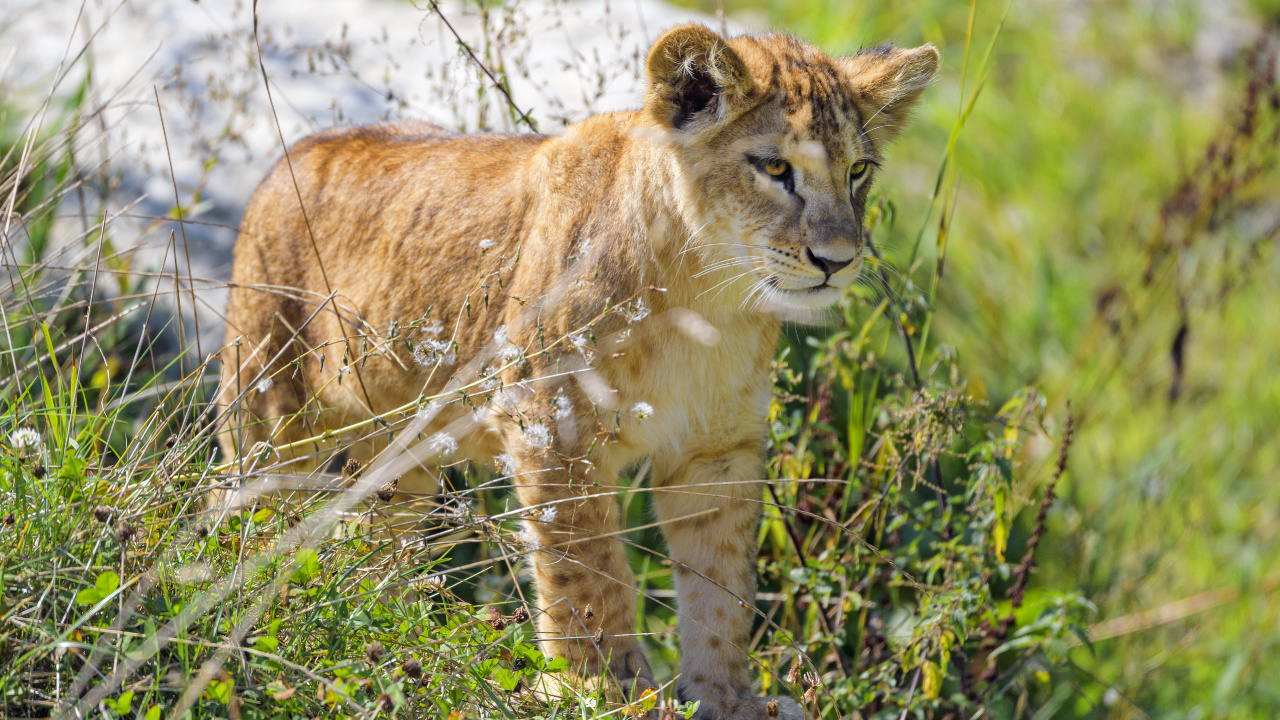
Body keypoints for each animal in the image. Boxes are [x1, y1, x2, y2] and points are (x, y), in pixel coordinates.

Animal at [216, 23, 938, 719]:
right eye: (776, 167)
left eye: (858, 171)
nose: (838, 260)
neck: (707, 295)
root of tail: (289, 157)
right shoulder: (550, 426)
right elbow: (588, 573)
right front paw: (605, 690)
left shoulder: (717, 449)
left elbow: (722, 583)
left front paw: (726, 698)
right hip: (270, 409)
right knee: (247, 507)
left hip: (401, 456)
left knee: (373, 540)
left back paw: (388, 629)